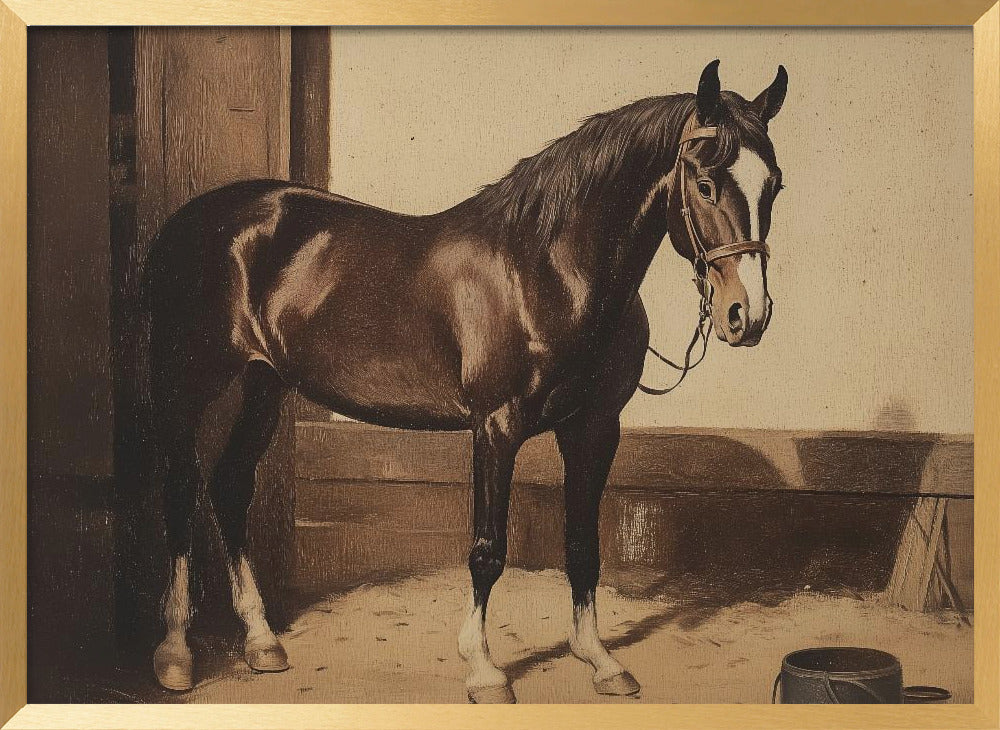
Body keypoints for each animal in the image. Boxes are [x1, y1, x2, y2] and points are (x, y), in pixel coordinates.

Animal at [144, 59, 787, 703]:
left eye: (774, 184)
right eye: (704, 183)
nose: (747, 316)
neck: (546, 271)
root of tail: (189, 222)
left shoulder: (595, 429)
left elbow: (583, 546)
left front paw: (600, 660)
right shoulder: (496, 428)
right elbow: (487, 551)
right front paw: (483, 670)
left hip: (265, 384)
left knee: (229, 485)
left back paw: (261, 643)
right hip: (190, 382)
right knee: (179, 488)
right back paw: (175, 654)